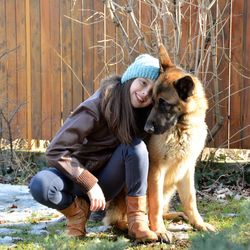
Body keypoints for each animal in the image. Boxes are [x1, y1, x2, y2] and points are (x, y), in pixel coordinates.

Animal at [104, 44, 216, 242]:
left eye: (163, 103)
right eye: (153, 101)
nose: (147, 129)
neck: (181, 128)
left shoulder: (187, 170)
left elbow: (191, 200)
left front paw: (199, 224)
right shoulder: (156, 171)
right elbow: (154, 204)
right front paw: (160, 231)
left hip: (170, 189)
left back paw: (176, 216)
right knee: (121, 219)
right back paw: (135, 227)